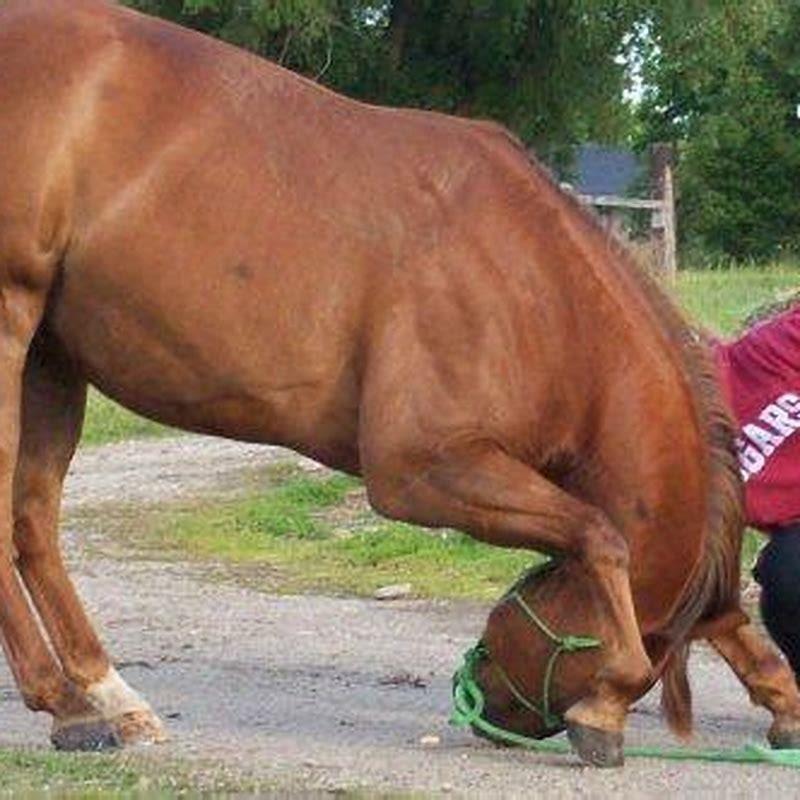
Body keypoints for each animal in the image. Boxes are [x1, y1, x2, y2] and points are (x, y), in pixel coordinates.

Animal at [1, 0, 799, 766]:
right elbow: (601, 537)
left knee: (34, 517)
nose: (482, 695)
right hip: (13, 324)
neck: (535, 288)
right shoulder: (422, 467)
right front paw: (604, 712)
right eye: (653, 652)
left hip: (52, 358)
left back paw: (108, 697)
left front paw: (780, 696)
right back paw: (68, 706)